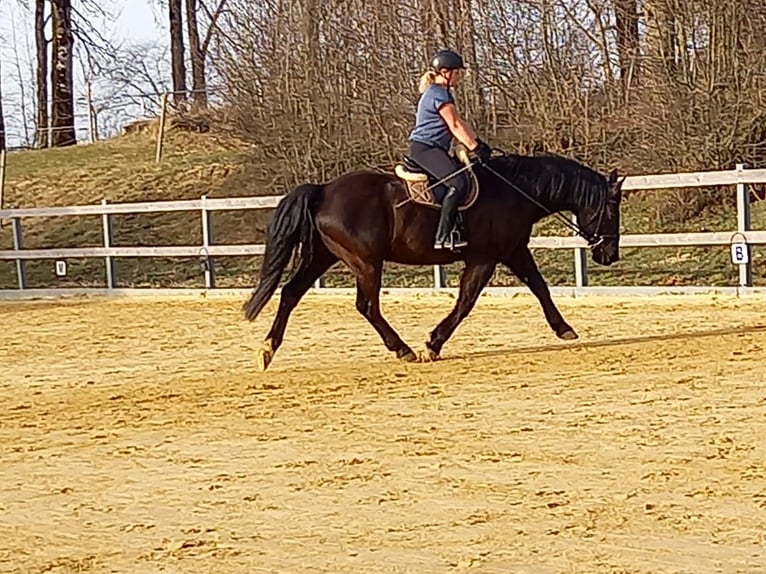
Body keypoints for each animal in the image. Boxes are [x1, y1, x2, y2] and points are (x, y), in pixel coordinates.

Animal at [243, 150, 628, 374]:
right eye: (612, 209)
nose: (609, 254)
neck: (515, 189)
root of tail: (323, 190)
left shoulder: (515, 251)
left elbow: (540, 288)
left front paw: (564, 328)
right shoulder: (485, 258)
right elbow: (466, 302)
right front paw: (433, 344)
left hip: (323, 257)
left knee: (291, 294)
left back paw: (267, 348)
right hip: (366, 263)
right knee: (367, 306)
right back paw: (403, 350)